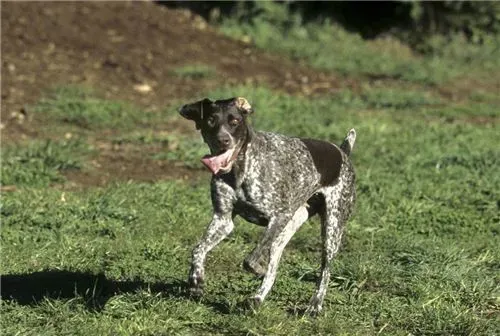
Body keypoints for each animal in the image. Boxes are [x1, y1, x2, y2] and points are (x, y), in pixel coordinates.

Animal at [180, 96, 356, 314]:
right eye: (211, 120)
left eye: (234, 121)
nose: (223, 140)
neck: (240, 169)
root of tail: (342, 151)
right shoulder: (223, 220)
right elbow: (198, 250)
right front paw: (196, 281)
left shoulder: (279, 216)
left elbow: (251, 259)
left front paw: (256, 268)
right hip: (287, 229)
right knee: (274, 267)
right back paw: (256, 298)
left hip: (331, 230)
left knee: (325, 271)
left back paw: (315, 305)